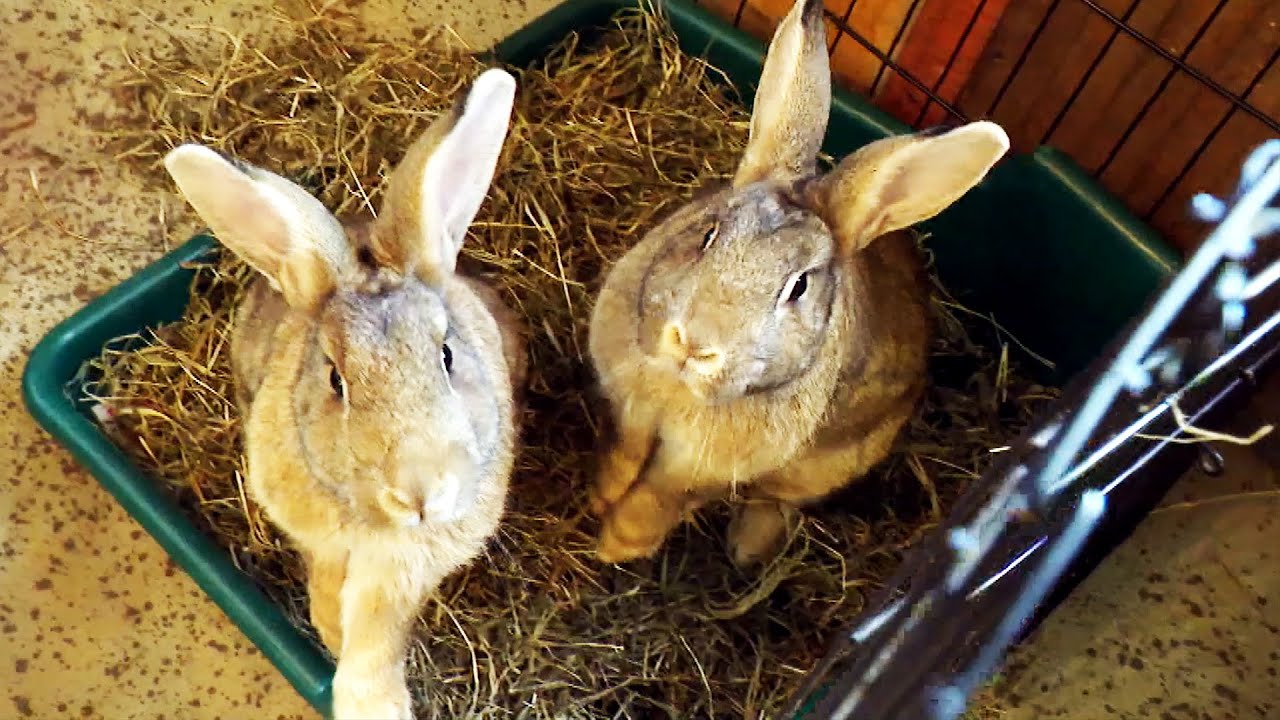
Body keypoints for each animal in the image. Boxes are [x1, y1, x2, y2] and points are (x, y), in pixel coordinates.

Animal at [162, 67, 525, 720]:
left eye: (446, 355)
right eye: (336, 379)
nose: (421, 494)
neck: (374, 521)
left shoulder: (408, 565)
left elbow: (380, 626)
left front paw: (370, 701)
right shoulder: (318, 536)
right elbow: (330, 583)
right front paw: (330, 632)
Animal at [586, 0, 1010, 569]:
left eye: (799, 287)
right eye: (708, 233)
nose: (693, 344)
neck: (677, 390)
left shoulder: (703, 469)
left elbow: (661, 497)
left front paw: (616, 545)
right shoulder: (630, 411)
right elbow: (625, 455)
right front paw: (598, 500)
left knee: (777, 501)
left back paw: (748, 547)